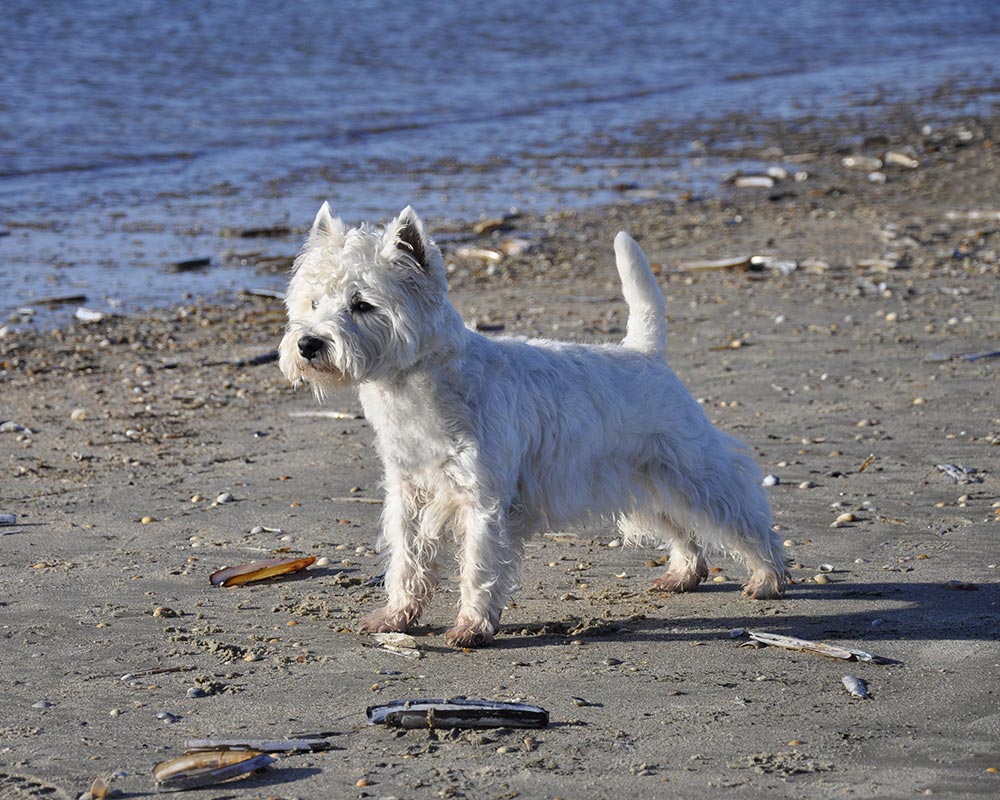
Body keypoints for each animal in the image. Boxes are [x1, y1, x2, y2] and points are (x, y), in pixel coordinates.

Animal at [278, 203, 784, 648]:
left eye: (362, 304)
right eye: (314, 301)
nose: (308, 344)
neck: (415, 387)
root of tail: (645, 353)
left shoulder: (483, 500)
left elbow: (477, 568)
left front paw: (471, 628)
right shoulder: (410, 493)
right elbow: (407, 561)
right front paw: (395, 617)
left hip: (690, 468)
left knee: (743, 514)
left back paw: (768, 577)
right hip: (640, 478)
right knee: (681, 525)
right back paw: (683, 574)